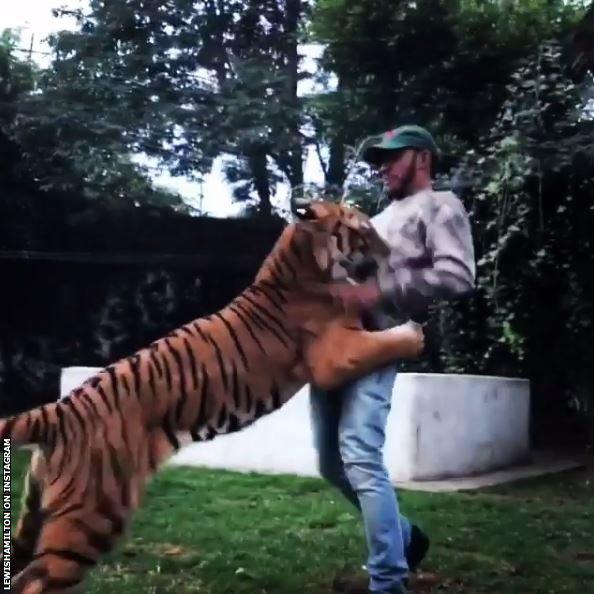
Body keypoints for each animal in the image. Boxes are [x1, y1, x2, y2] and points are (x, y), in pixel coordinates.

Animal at [2, 201, 424, 588]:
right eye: (363, 228)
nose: (388, 251)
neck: (302, 263)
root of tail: (58, 410)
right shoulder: (334, 356)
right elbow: (387, 342)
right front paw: (415, 332)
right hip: (93, 517)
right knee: (35, 580)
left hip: (34, 511)